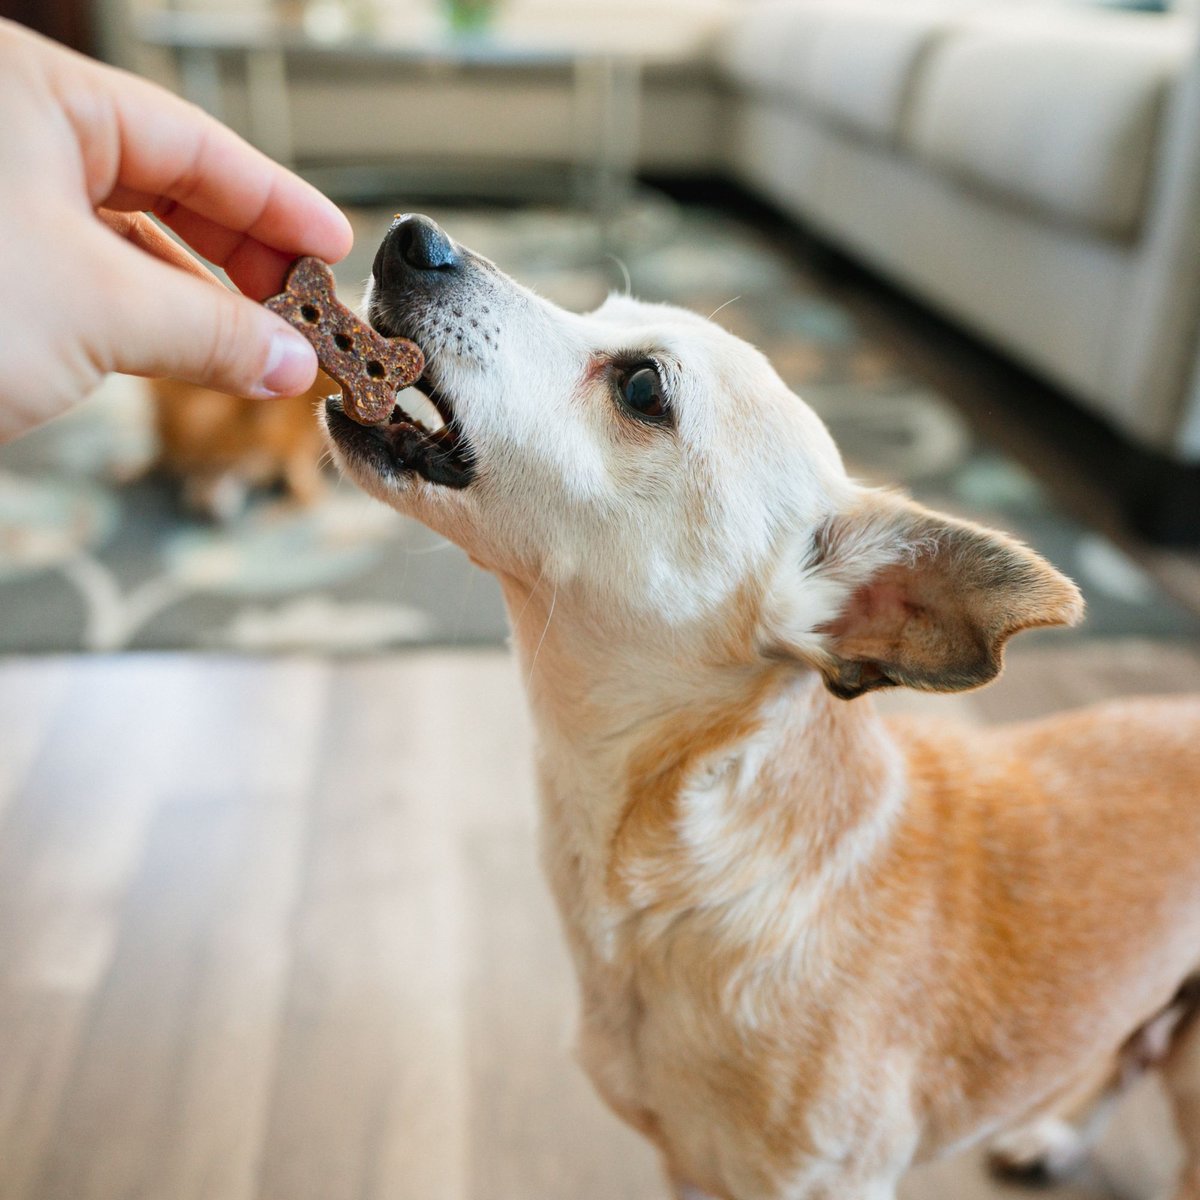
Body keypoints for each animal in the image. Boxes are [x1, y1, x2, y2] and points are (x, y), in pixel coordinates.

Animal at [321, 216, 1200, 1200]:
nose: (415, 236)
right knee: (1134, 1052)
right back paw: (1057, 1137)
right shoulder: (687, 1172)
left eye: (642, 387)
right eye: (600, 310)